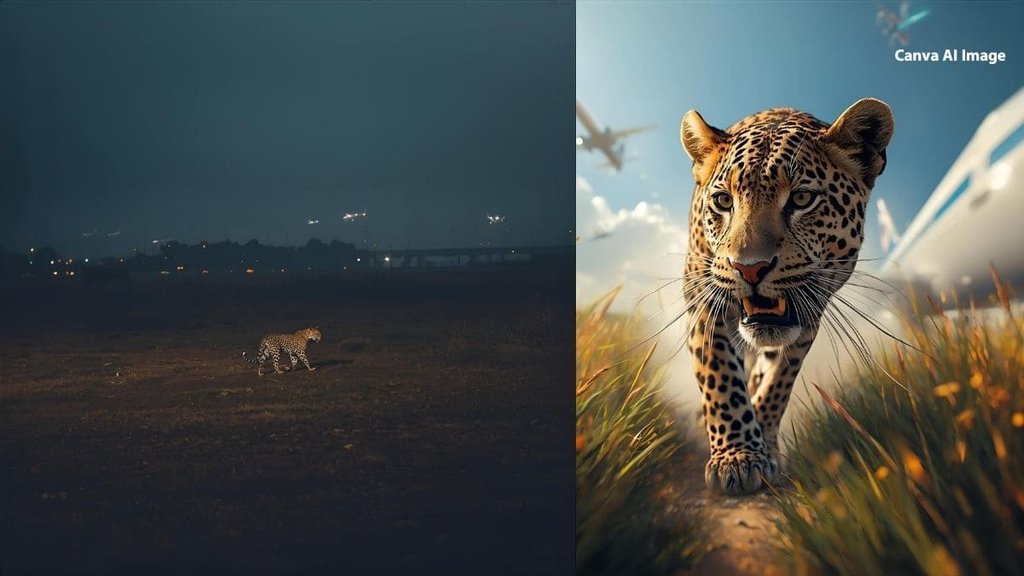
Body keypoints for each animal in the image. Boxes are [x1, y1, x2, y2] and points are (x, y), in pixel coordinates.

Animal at [679, 98, 893, 494]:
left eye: (802, 198)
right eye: (723, 201)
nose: (749, 268)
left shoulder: (809, 313)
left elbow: (778, 382)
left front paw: (763, 444)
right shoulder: (704, 295)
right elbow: (720, 375)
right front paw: (738, 457)